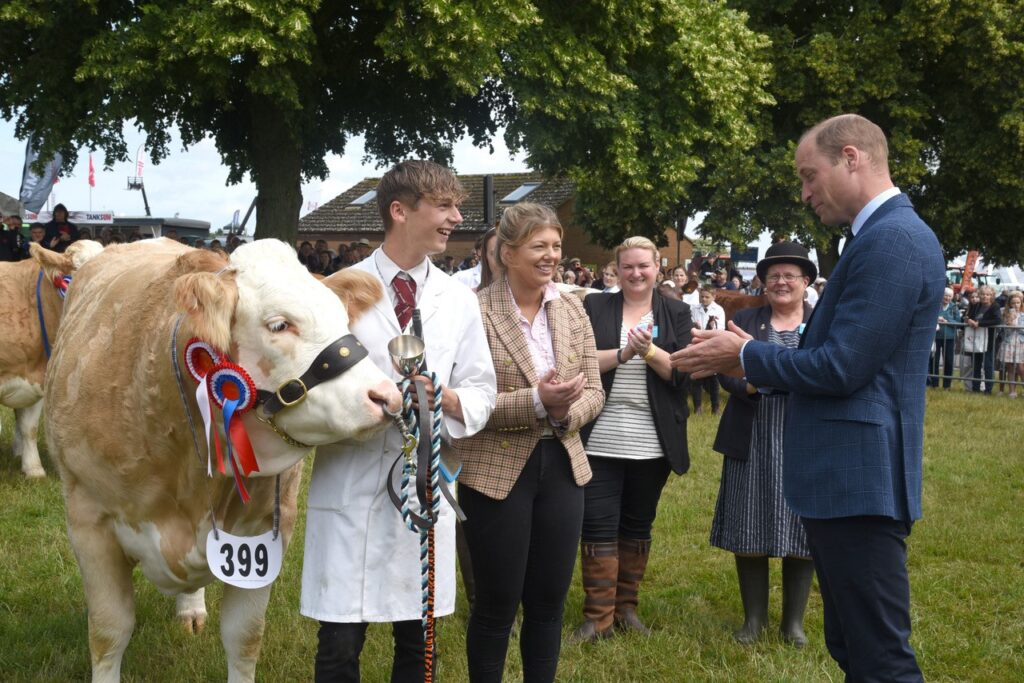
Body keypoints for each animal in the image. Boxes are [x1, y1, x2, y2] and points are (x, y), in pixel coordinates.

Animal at [46, 237, 401, 679]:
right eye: (279, 324)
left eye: (342, 319)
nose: (386, 397)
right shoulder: (88, 522)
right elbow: (109, 633)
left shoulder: (268, 531)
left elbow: (244, 636)